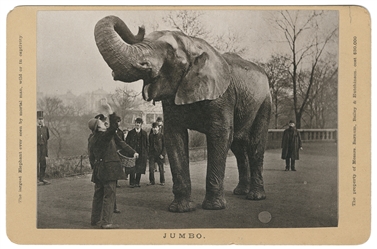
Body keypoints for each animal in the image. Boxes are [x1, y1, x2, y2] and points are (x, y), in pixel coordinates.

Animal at [94, 15, 270, 212]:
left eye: (169, 51)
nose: (140, 27)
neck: (194, 44)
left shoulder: (222, 96)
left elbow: (220, 134)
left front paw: (213, 207)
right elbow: (174, 135)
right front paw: (181, 209)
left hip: (264, 103)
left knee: (255, 144)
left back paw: (255, 196)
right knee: (238, 147)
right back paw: (240, 191)